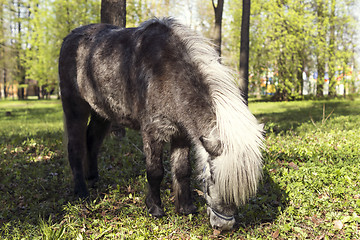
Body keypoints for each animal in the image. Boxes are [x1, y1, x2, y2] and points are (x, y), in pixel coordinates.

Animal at [58, 17, 262, 231]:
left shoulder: (182, 135)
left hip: (102, 114)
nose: (223, 226)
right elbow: (155, 172)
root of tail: (70, 38)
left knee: (92, 142)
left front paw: (185, 208)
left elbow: (182, 170)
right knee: (76, 147)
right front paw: (155, 208)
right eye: (212, 178)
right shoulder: (153, 133)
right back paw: (82, 192)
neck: (167, 72)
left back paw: (94, 180)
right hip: (75, 109)